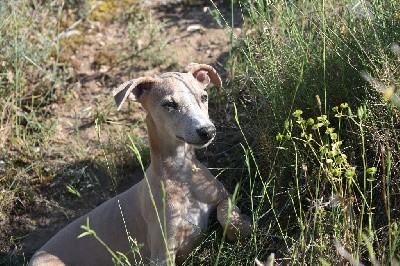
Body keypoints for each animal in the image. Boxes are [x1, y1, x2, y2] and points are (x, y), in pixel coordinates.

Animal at [29, 63, 250, 264]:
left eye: (203, 97)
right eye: (169, 104)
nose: (208, 131)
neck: (181, 178)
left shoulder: (223, 195)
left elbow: (226, 212)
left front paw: (243, 229)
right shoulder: (163, 253)